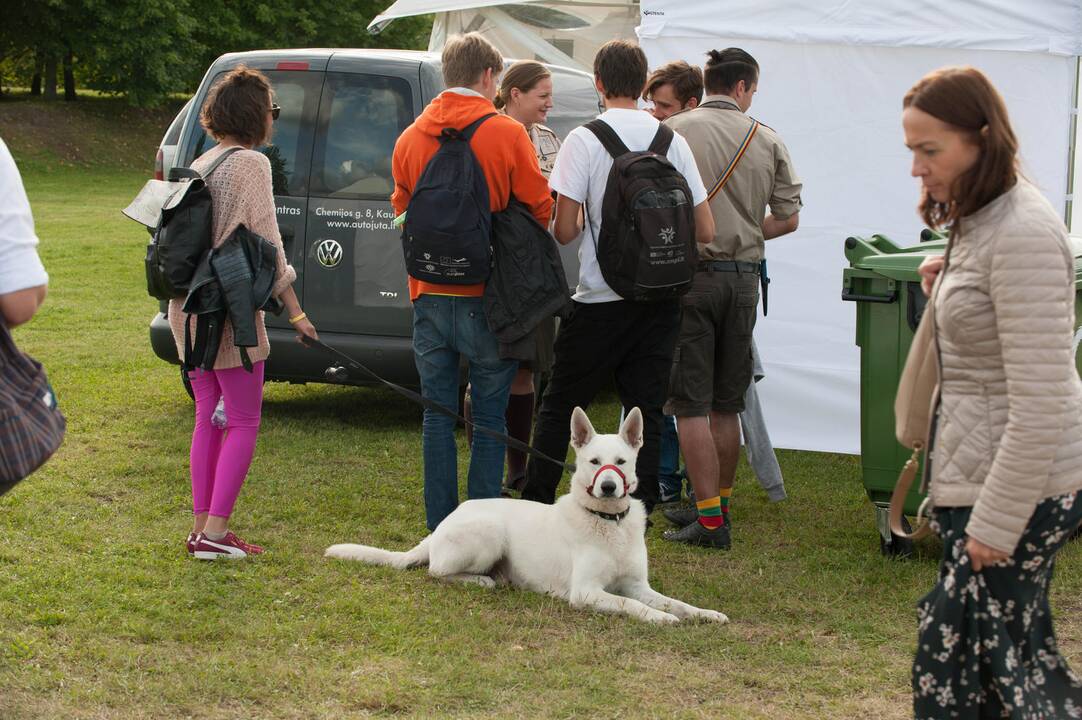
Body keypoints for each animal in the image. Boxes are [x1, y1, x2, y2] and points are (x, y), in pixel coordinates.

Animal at [320, 404, 727, 623]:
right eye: (594, 462)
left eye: (621, 462)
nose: (609, 487)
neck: (607, 522)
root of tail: (439, 528)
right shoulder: (586, 592)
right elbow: (632, 605)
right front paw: (662, 619)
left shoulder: (639, 584)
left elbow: (674, 602)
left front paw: (704, 613)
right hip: (488, 534)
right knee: (436, 571)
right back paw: (481, 580)